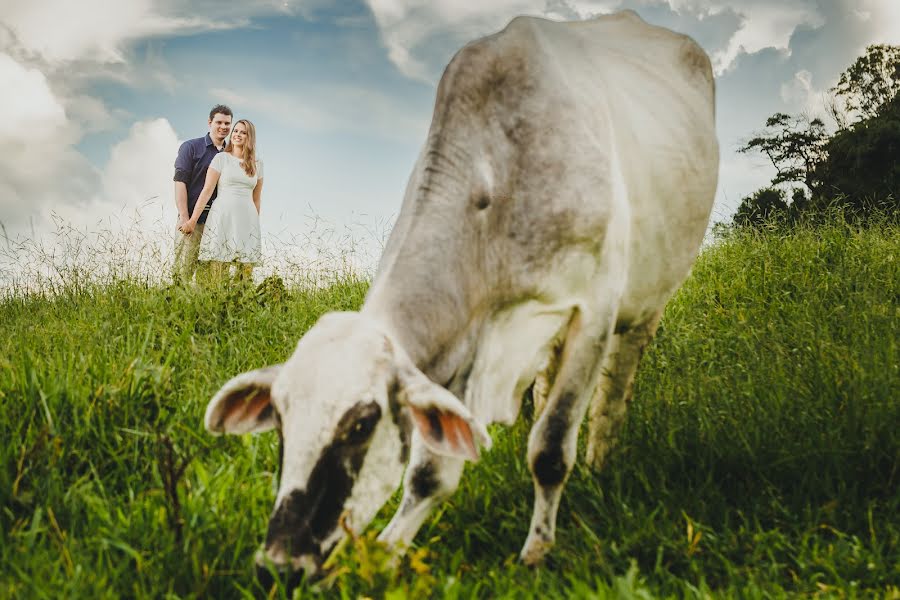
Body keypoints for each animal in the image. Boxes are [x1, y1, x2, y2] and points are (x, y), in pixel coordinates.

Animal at [202, 8, 716, 580]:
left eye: (361, 424)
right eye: (281, 422)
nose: (277, 564)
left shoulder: (595, 312)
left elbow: (550, 448)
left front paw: (536, 551)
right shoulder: (462, 348)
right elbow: (429, 474)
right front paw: (389, 550)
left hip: (648, 299)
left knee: (617, 377)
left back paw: (601, 458)